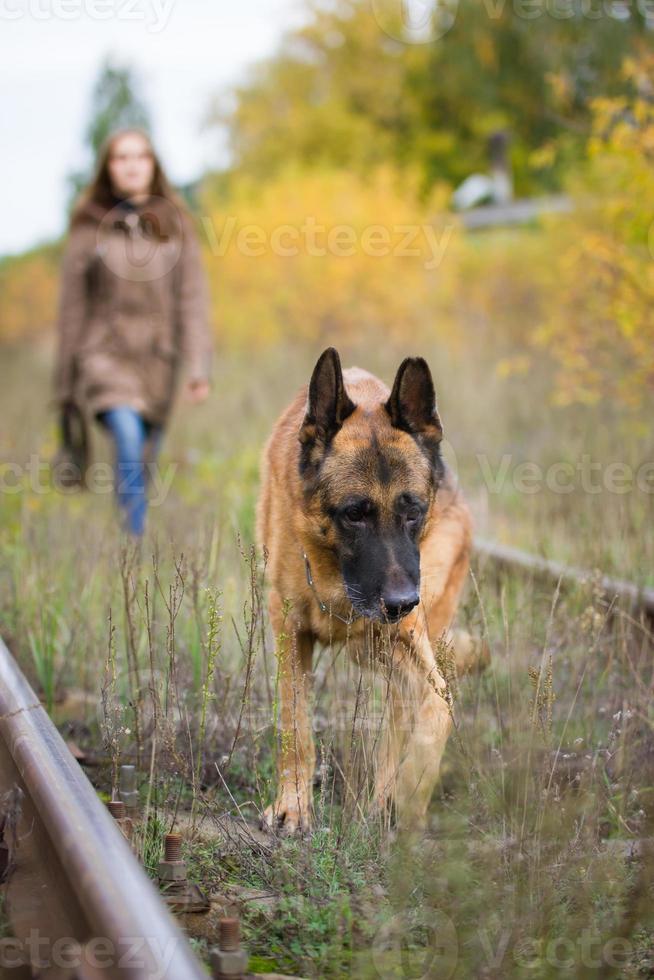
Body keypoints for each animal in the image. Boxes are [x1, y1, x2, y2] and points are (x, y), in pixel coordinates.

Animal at [258, 348, 484, 832]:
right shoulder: (290, 632)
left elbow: (442, 703)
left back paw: (387, 798)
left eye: (412, 511)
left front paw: (413, 789)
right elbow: (295, 725)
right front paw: (293, 807)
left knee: (403, 706)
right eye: (354, 514)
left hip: (389, 641)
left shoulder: (409, 635)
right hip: (373, 649)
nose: (400, 603)